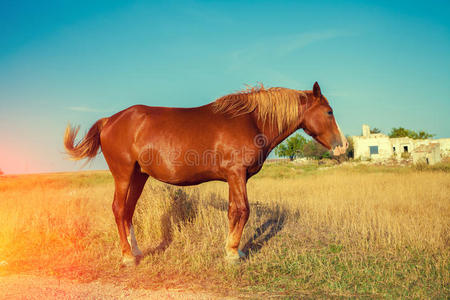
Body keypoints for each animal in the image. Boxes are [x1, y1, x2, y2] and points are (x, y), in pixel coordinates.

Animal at [63, 81, 348, 264]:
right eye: (329, 111)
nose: (342, 146)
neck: (251, 120)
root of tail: (109, 120)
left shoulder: (235, 178)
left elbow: (234, 211)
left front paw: (232, 249)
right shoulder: (236, 174)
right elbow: (242, 210)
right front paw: (233, 253)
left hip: (139, 176)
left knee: (128, 211)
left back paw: (137, 251)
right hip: (123, 175)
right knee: (119, 209)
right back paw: (127, 257)